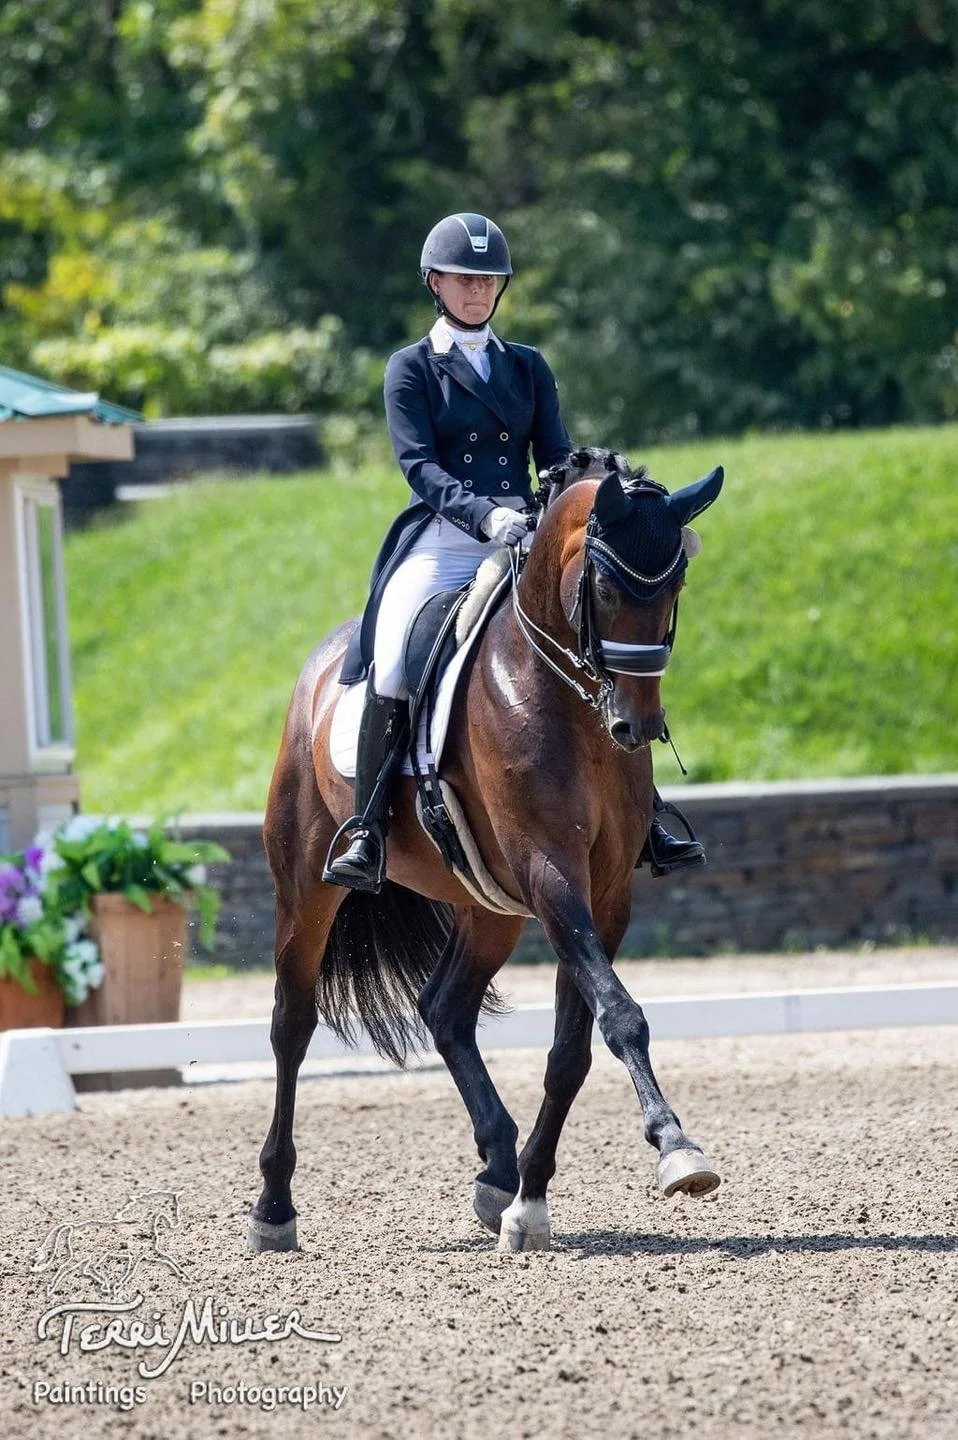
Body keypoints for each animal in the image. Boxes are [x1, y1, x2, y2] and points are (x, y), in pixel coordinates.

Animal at [248, 448, 724, 1255]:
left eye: (677, 585)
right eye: (604, 585)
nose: (636, 726)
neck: (562, 697)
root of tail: (321, 666)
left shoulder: (604, 894)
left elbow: (573, 1049)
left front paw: (528, 1201)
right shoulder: (550, 872)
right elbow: (620, 1016)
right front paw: (675, 1147)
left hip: (489, 907)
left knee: (443, 1009)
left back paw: (497, 1170)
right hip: (307, 886)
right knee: (293, 1024)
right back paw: (274, 1208)